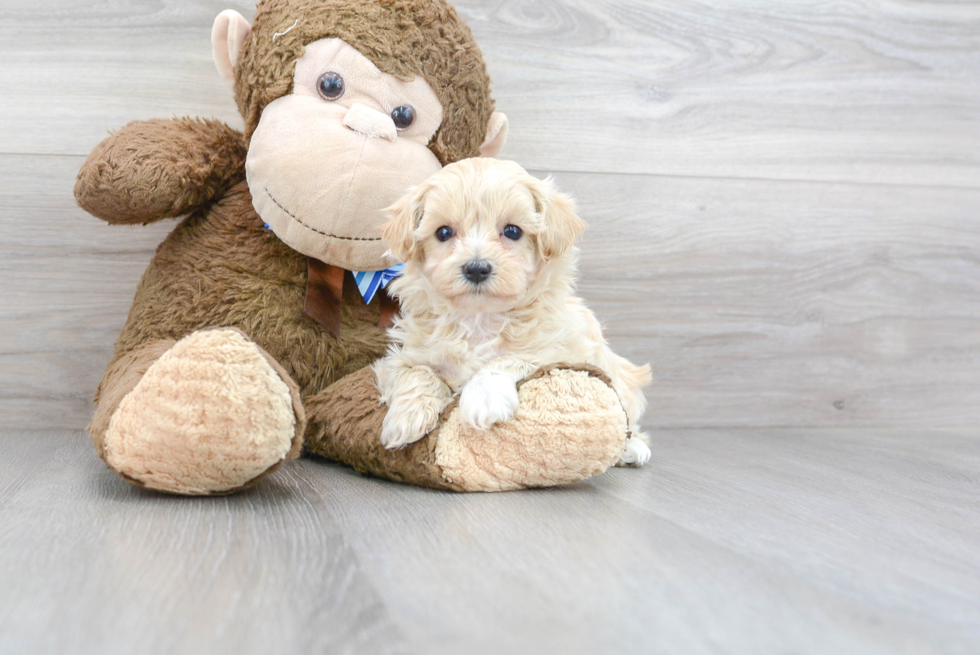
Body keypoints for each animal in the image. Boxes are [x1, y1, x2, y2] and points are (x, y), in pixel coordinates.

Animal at [372, 158, 656, 466]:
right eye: (443, 232)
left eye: (513, 231)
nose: (476, 268)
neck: (479, 318)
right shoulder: (401, 357)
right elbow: (417, 372)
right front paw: (404, 418)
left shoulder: (561, 351)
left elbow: (509, 358)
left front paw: (483, 399)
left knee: (628, 419)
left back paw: (633, 448)